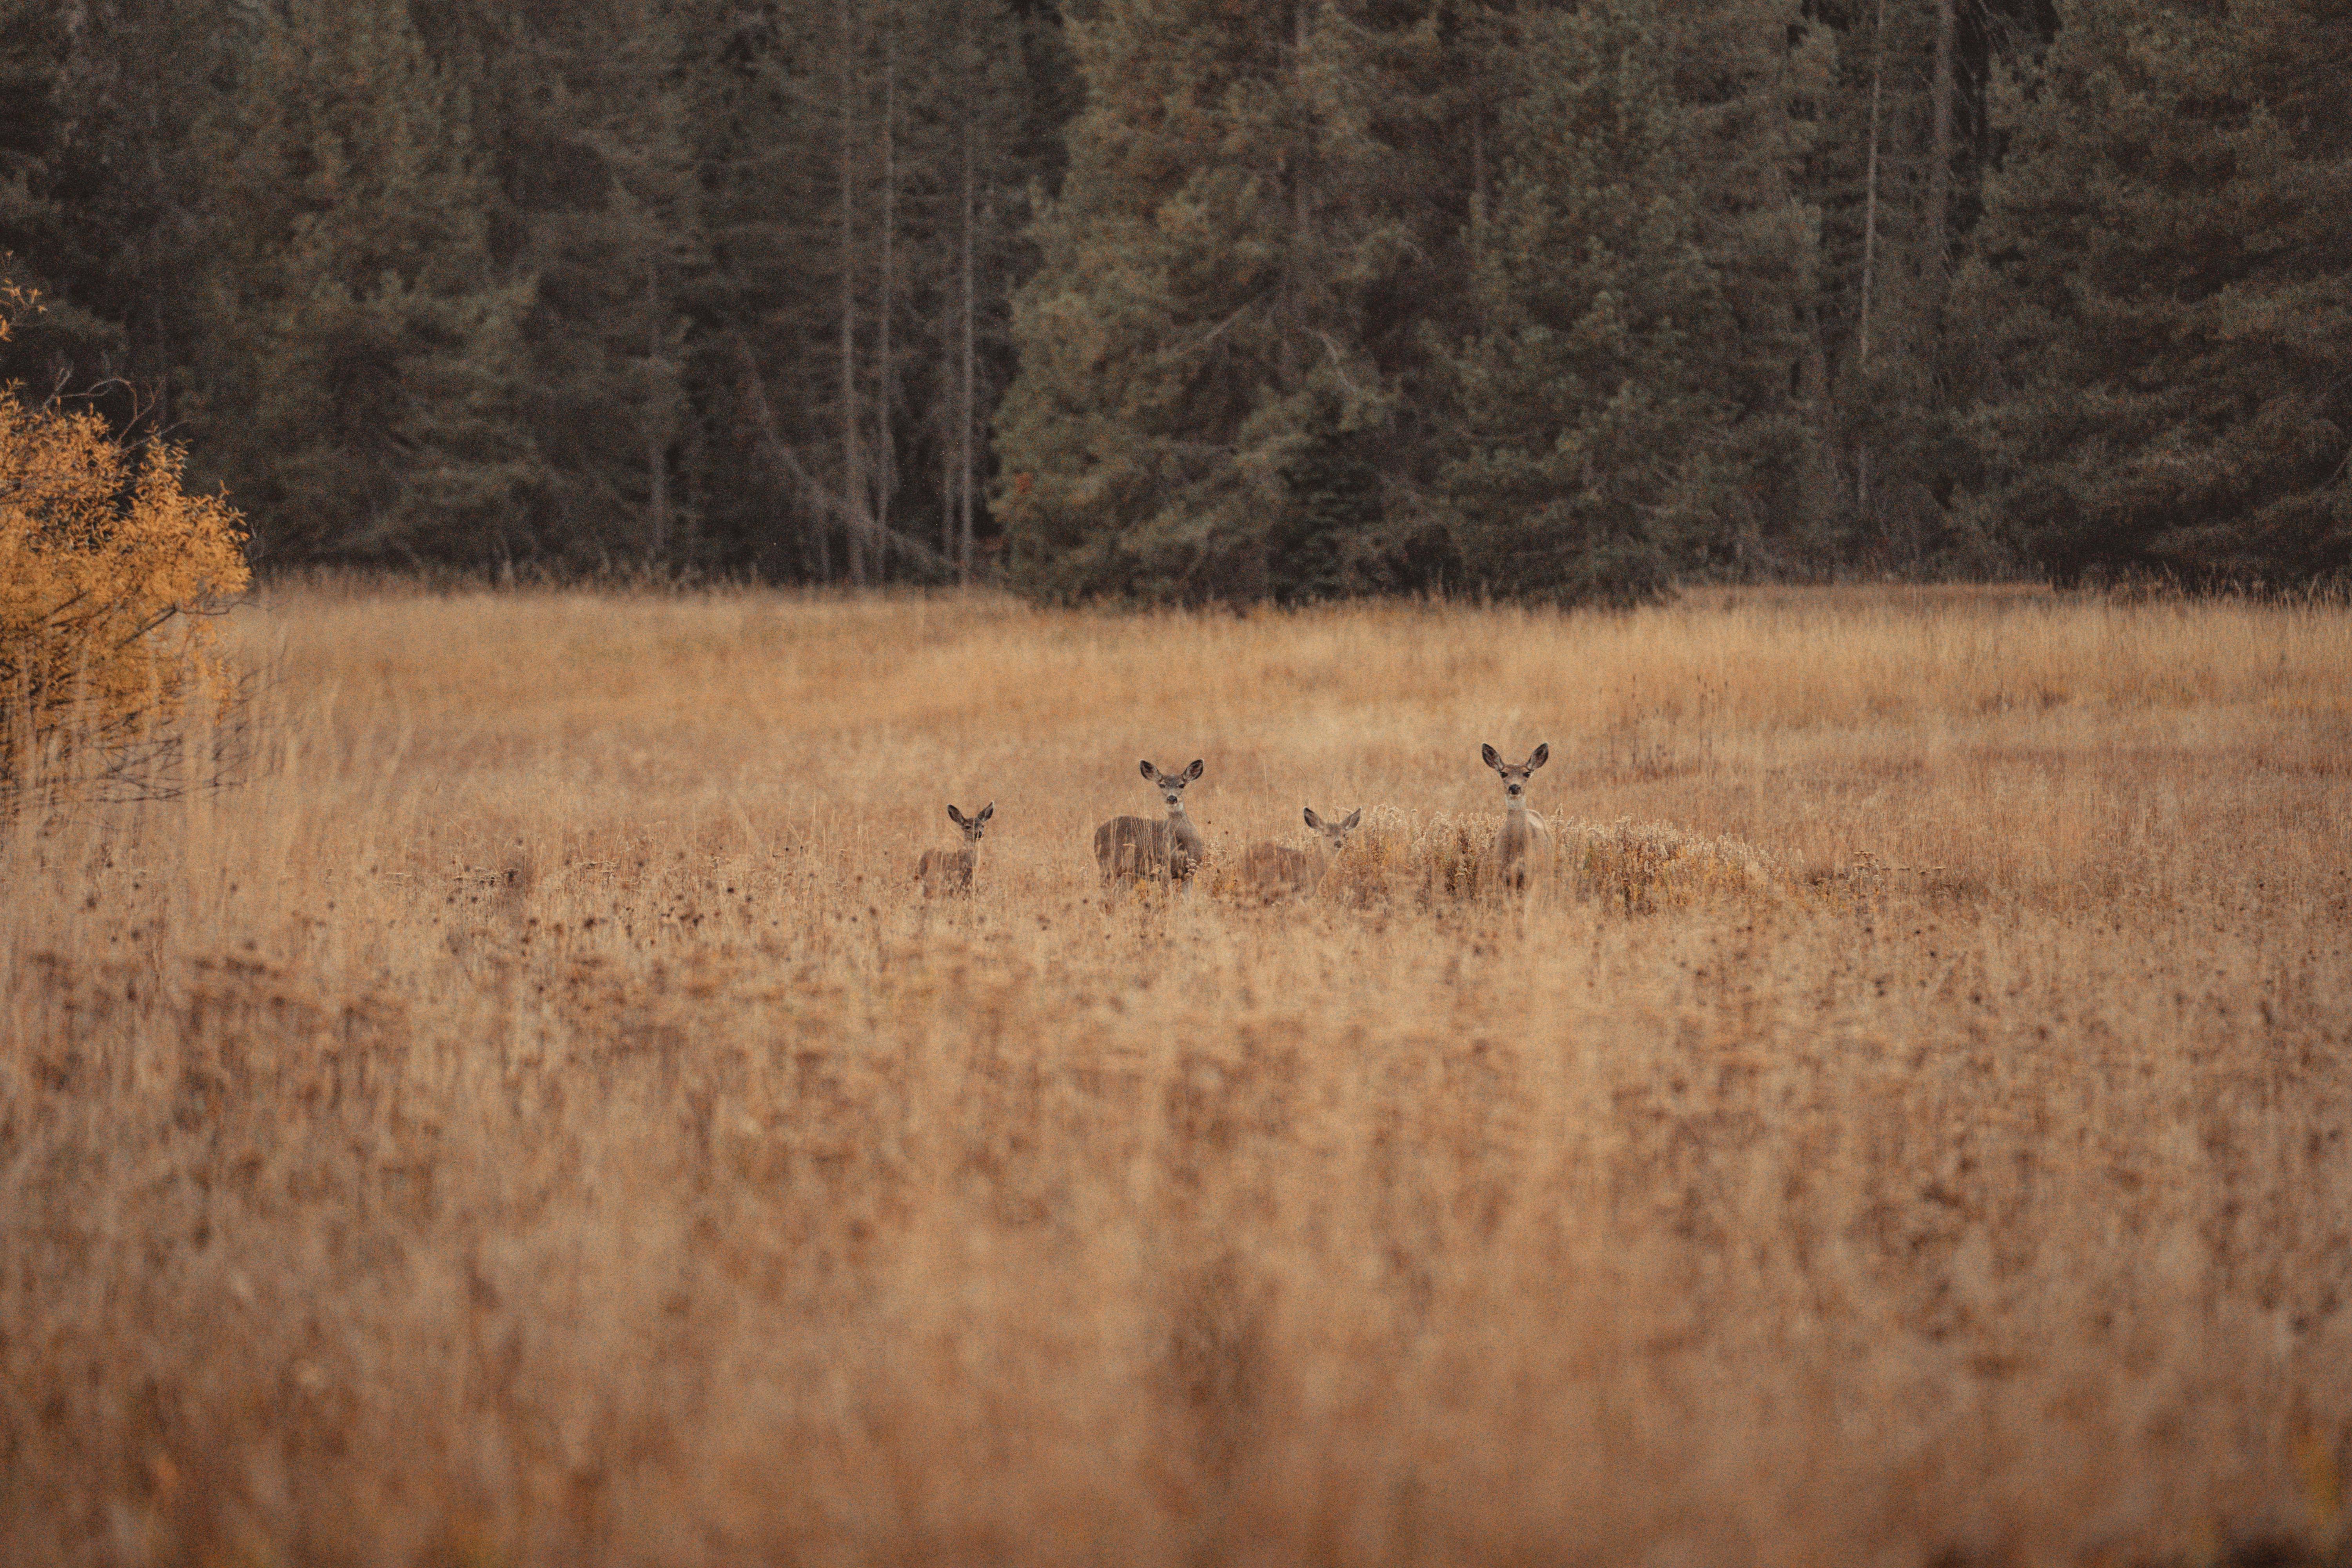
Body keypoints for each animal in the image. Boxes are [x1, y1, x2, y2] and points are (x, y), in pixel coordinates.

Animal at [1232, 804, 1364, 902]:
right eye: (1327, 834)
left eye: (1344, 835)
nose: (1338, 843)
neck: (1312, 865)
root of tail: (1241, 857)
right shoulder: (1296, 893)